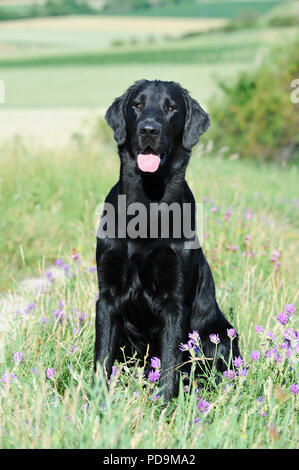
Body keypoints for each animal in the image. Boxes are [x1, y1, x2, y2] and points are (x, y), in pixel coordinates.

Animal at [94, 79, 241, 398]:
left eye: (171, 108)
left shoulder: (174, 301)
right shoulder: (108, 296)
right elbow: (102, 358)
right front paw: (93, 401)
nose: (148, 130)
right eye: (137, 105)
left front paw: (163, 405)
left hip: (220, 337)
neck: (147, 203)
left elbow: (170, 364)